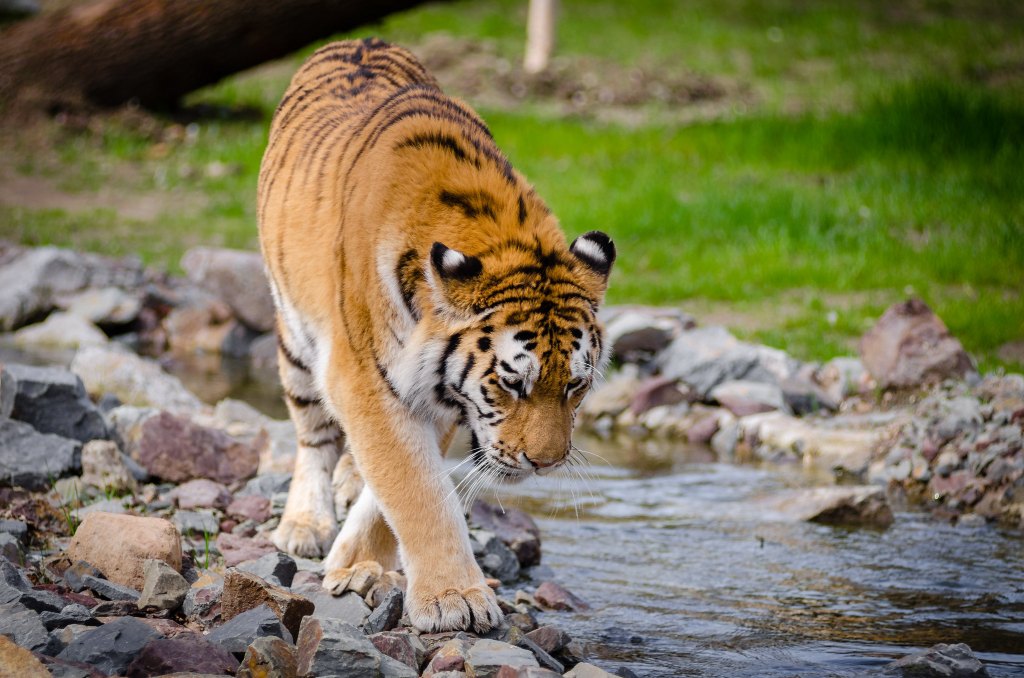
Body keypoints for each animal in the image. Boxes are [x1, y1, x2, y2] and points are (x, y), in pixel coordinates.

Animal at [257, 37, 616, 633]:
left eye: (575, 386)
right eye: (511, 384)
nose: (545, 464)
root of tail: (358, 40)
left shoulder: (441, 393)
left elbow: (397, 485)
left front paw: (358, 564)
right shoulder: (363, 375)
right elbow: (417, 487)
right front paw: (454, 599)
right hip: (295, 338)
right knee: (312, 436)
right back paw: (305, 523)